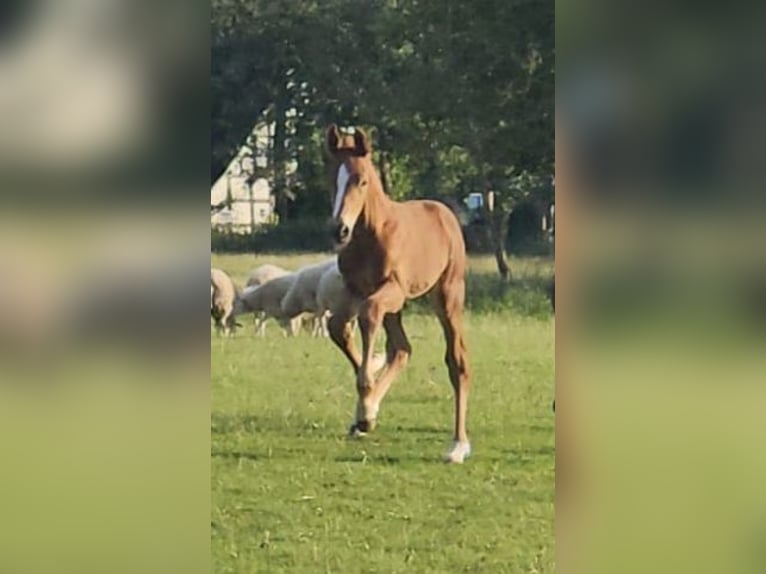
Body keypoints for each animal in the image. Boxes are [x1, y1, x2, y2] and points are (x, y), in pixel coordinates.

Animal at [324, 125, 474, 464]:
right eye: (331, 179)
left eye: (361, 180)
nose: (339, 230)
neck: (370, 234)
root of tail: (444, 212)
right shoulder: (355, 289)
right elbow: (337, 327)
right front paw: (365, 413)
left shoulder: (393, 289)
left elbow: (367, 316)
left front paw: (366, 402)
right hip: (397, 308)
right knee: (402, 348)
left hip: (446, 296)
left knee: (456, 360)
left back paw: (458, 445)